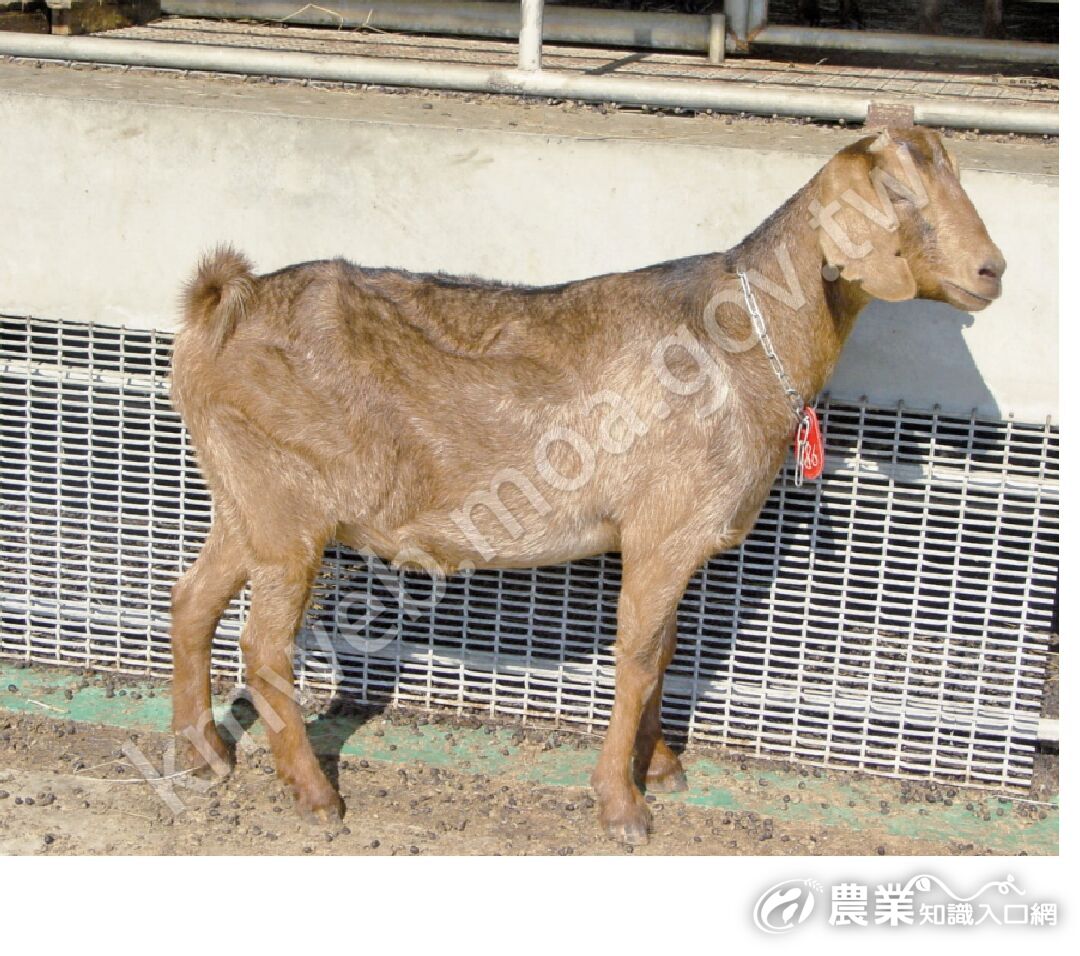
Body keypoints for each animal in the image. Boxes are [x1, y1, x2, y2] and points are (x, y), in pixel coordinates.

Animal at [168, 124, 1002, 842]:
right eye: (895, 190)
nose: (992, 270)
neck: (742, 345)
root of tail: (219, 309)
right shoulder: (660, 531)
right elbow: (636, 656)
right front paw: (622, 805)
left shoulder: (669, 542)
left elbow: (664, 652)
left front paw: (660, 767)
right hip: (287, 506)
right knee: (263, 643)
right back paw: (314, 794)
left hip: (241, 497)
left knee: (192, 600)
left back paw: (201, 752)